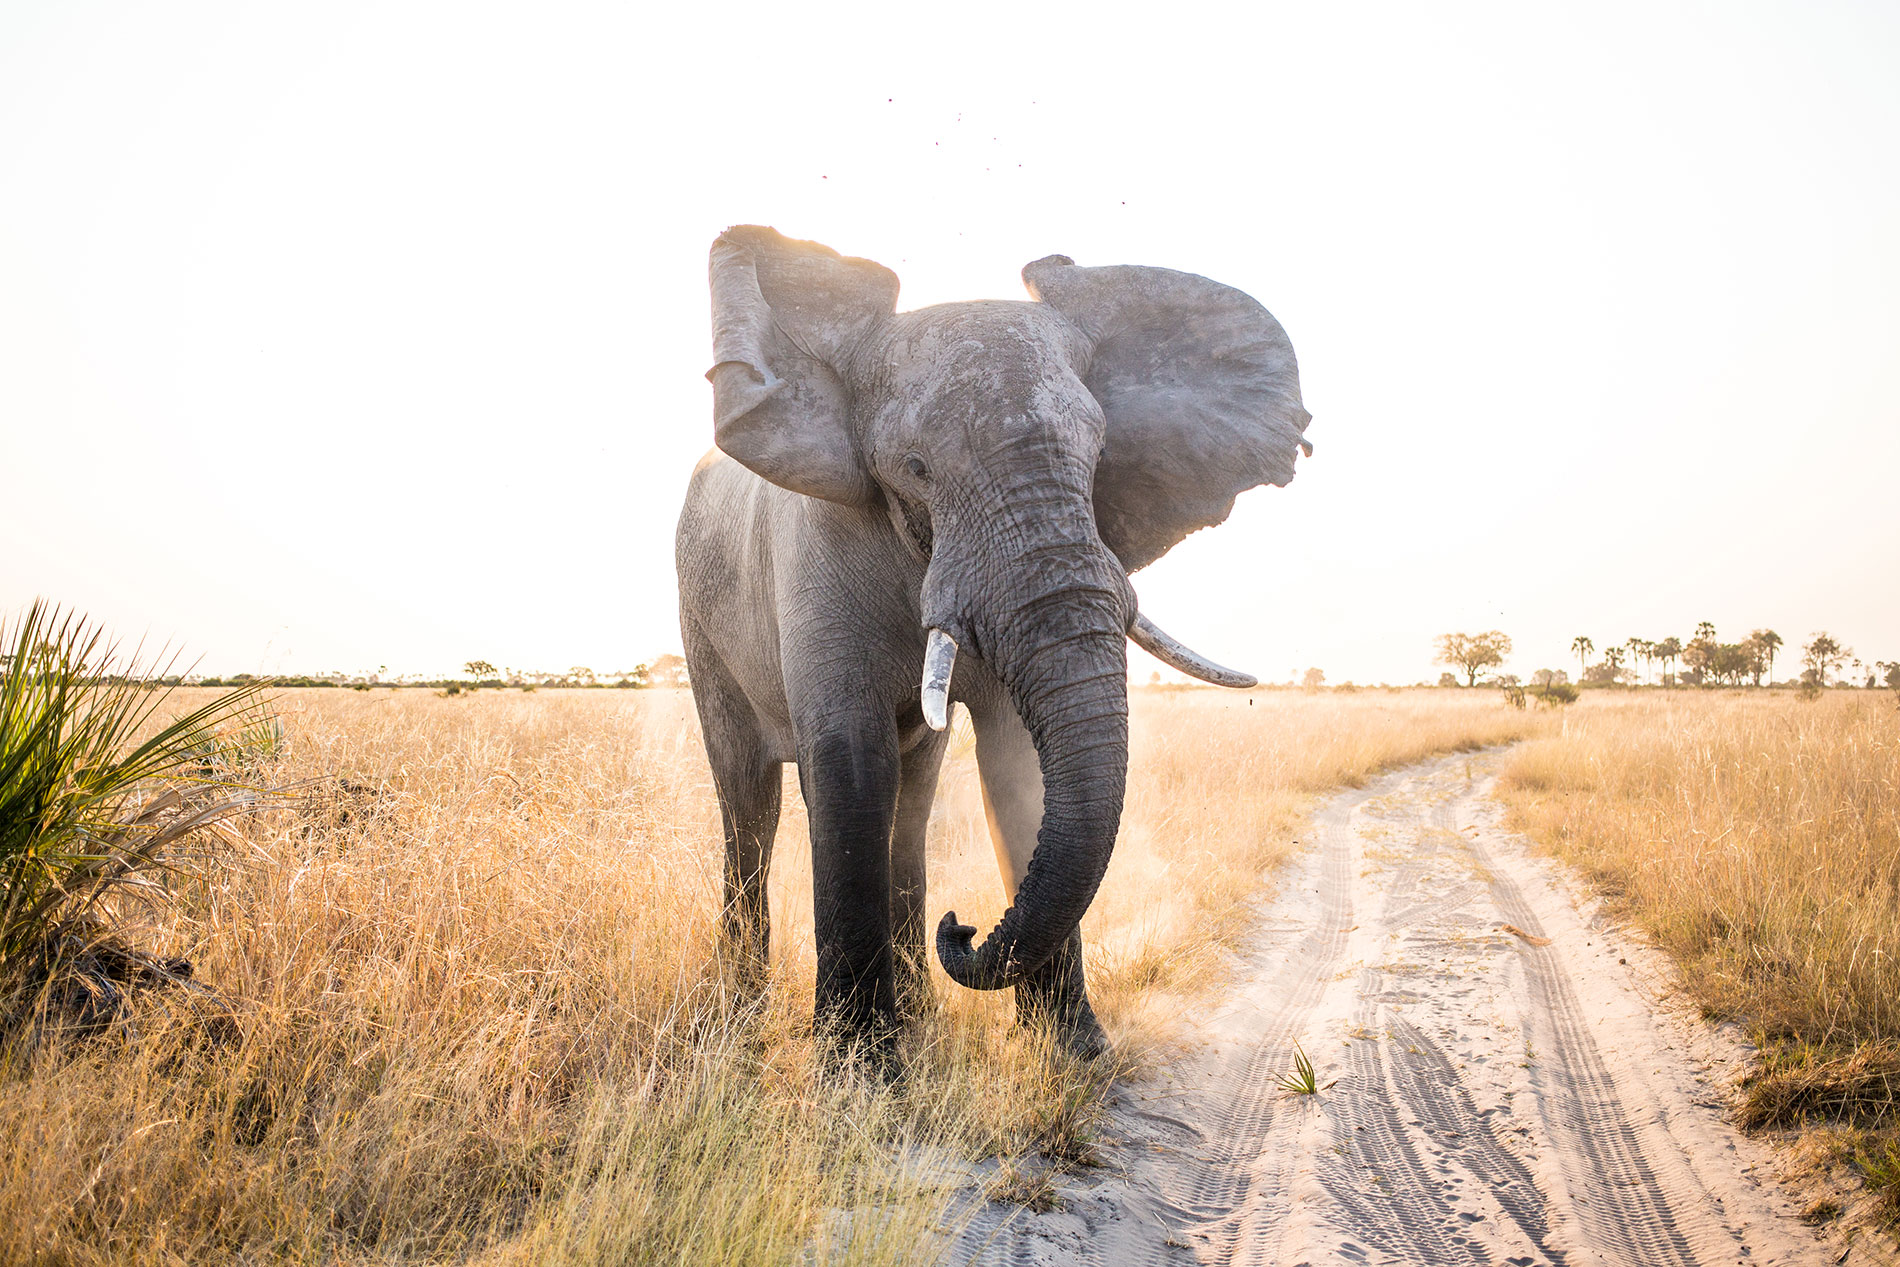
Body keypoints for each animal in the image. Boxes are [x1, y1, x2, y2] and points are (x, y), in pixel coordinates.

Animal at [676, 227, 1314, 1063]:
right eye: (916, 468)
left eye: (1099, 456)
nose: (965, 925)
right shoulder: (814, 549)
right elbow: (850, 764)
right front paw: (860, 1073)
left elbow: (1018, 765)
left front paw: (1078, 1055)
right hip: (699, 617)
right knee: (749, 796)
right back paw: (743, 1011)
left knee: (912, 800)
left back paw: (916, 1008)